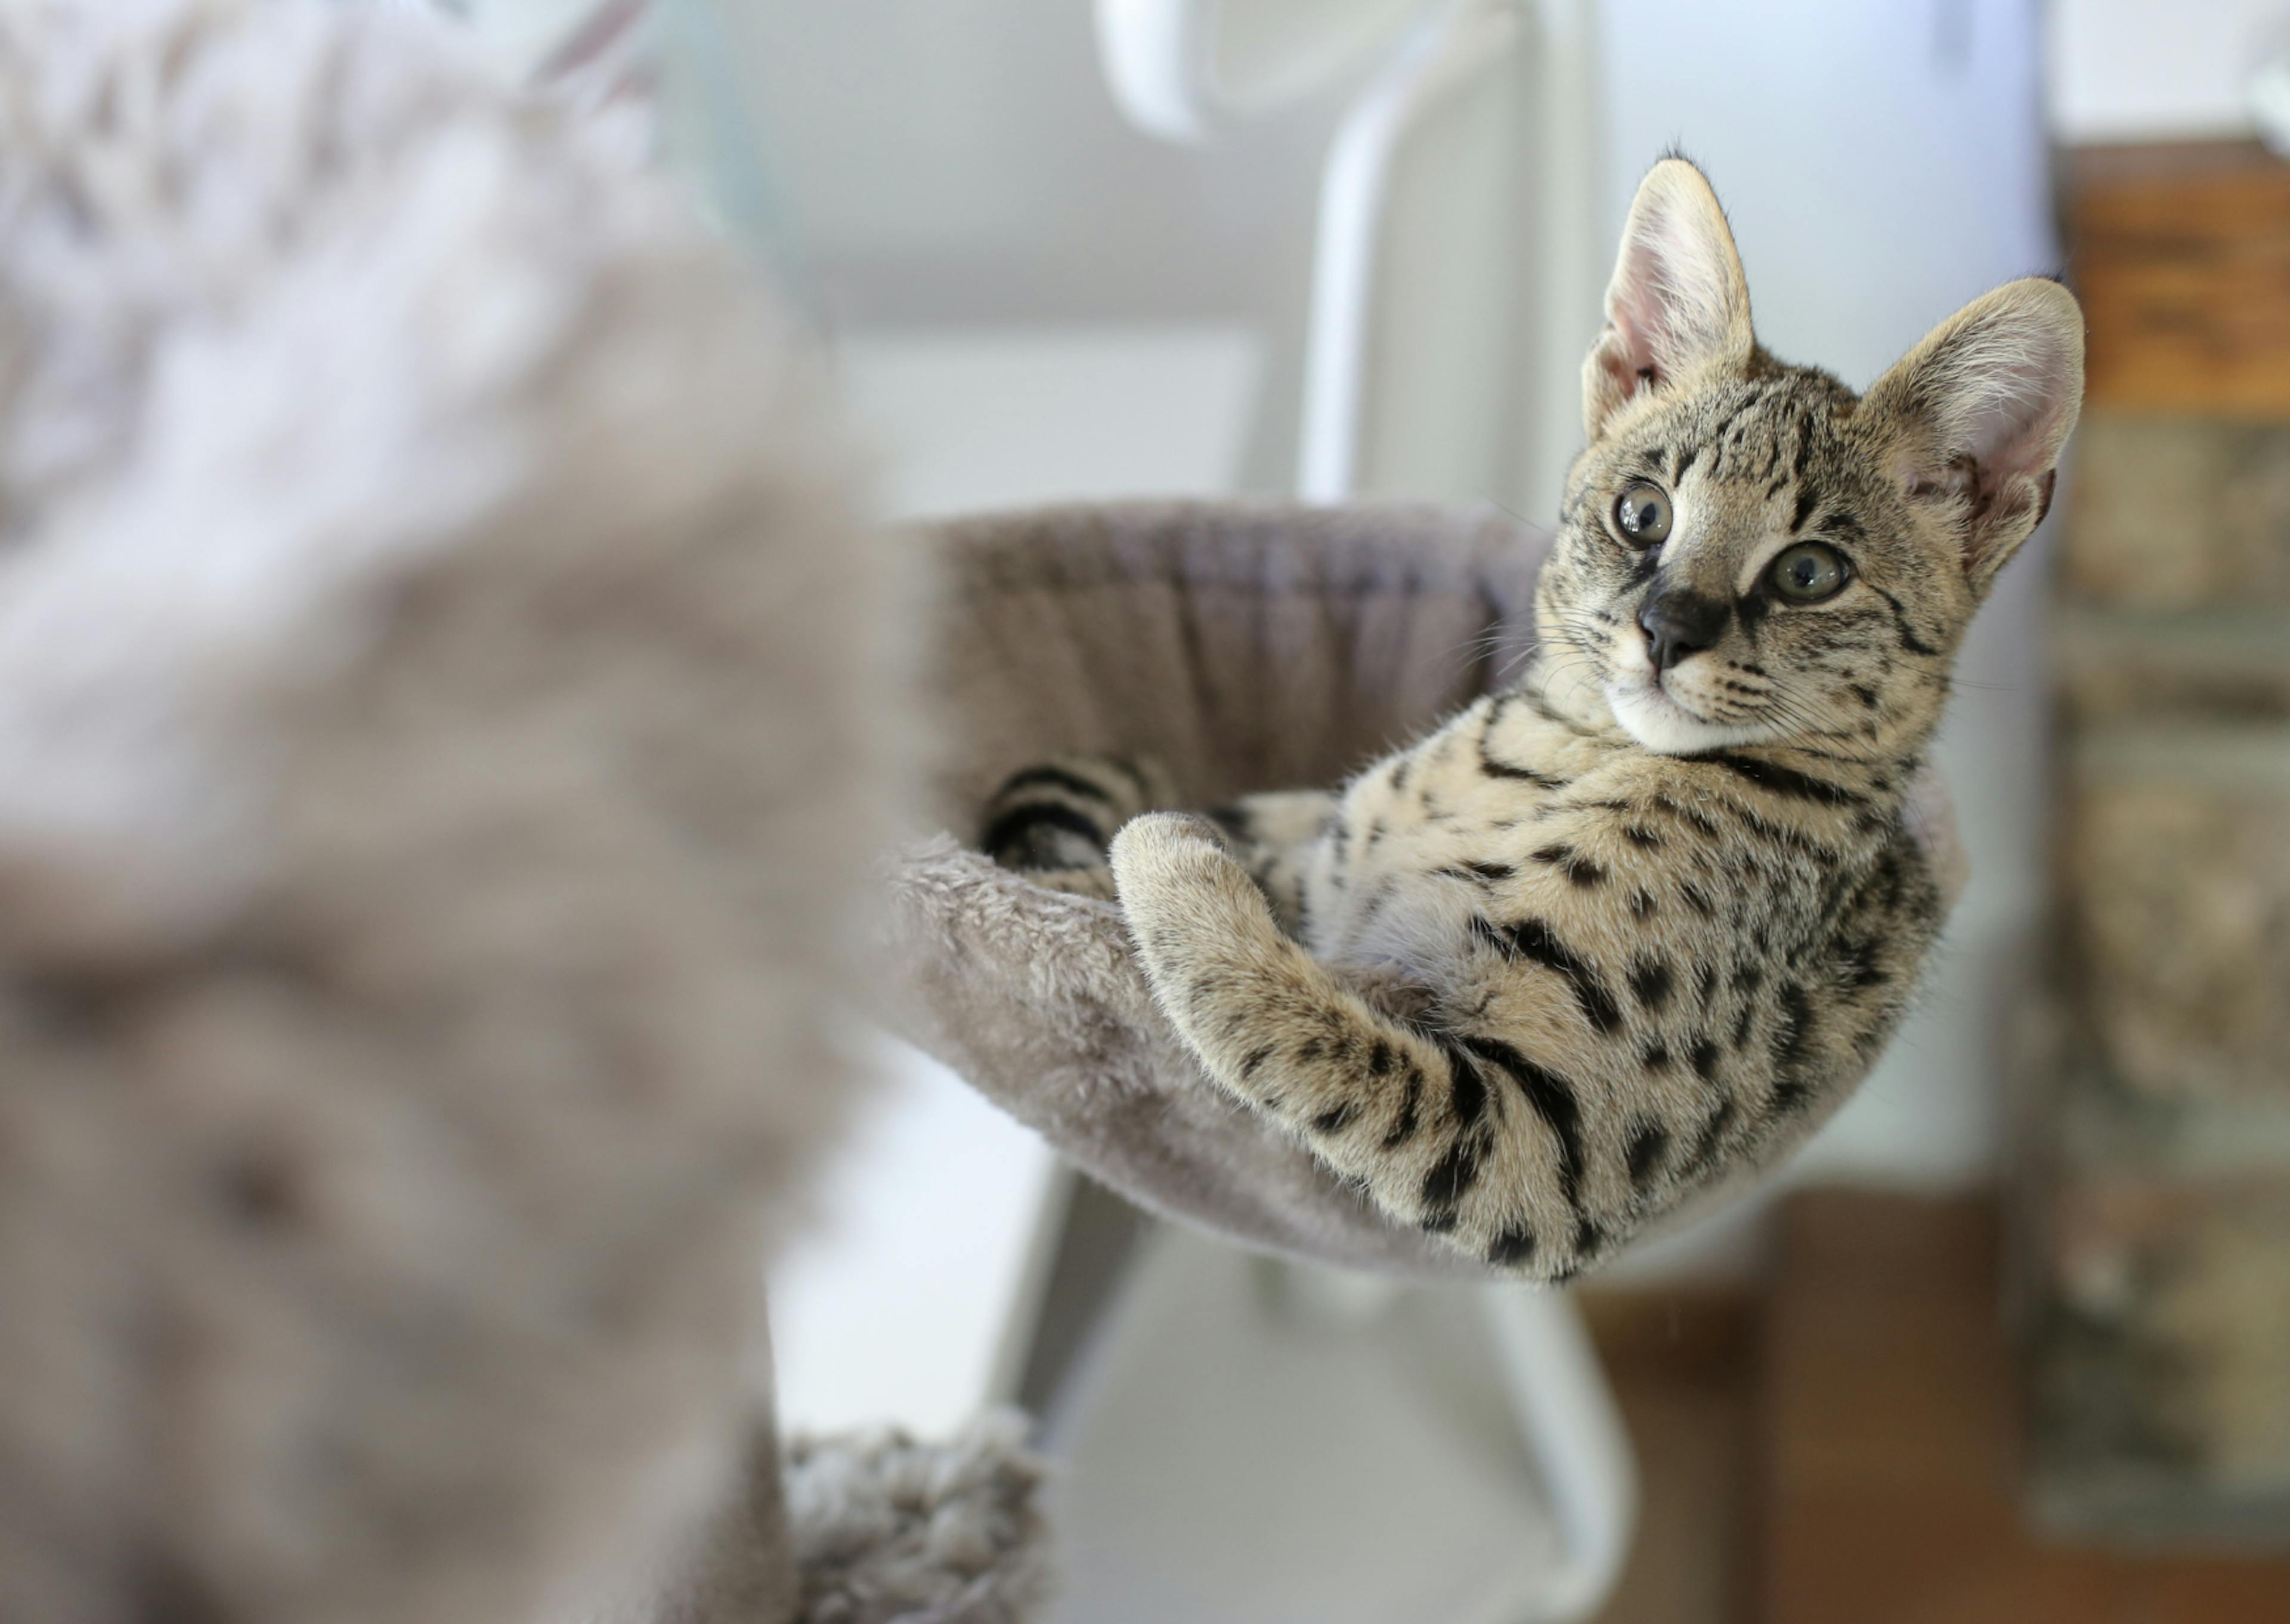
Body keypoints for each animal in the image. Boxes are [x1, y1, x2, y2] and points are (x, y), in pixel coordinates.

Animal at [975, 158, 2088, 1273]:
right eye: (1642, 513)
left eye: (1809, 573)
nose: (1667, 629)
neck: (1559, 757)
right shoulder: (1330, 896)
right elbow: (1100, 897)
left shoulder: (1547, 1148)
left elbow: (1294, 1024)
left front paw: (1171, 862)